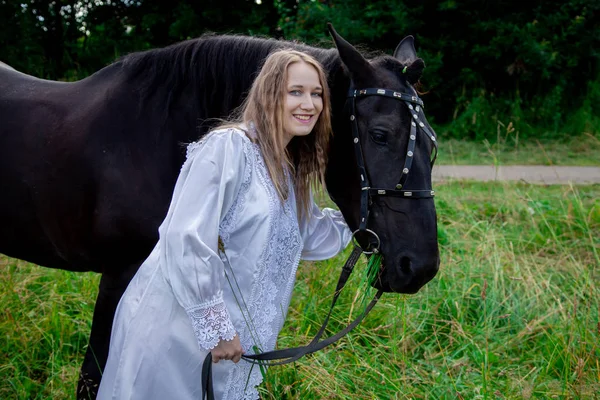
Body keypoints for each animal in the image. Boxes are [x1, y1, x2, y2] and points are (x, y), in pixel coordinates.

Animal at [0, 24, 440, 396]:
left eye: (432, 143)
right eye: (380, 135)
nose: (419, 267)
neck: (157, 134)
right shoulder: (118, 275)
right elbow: (93, 376)